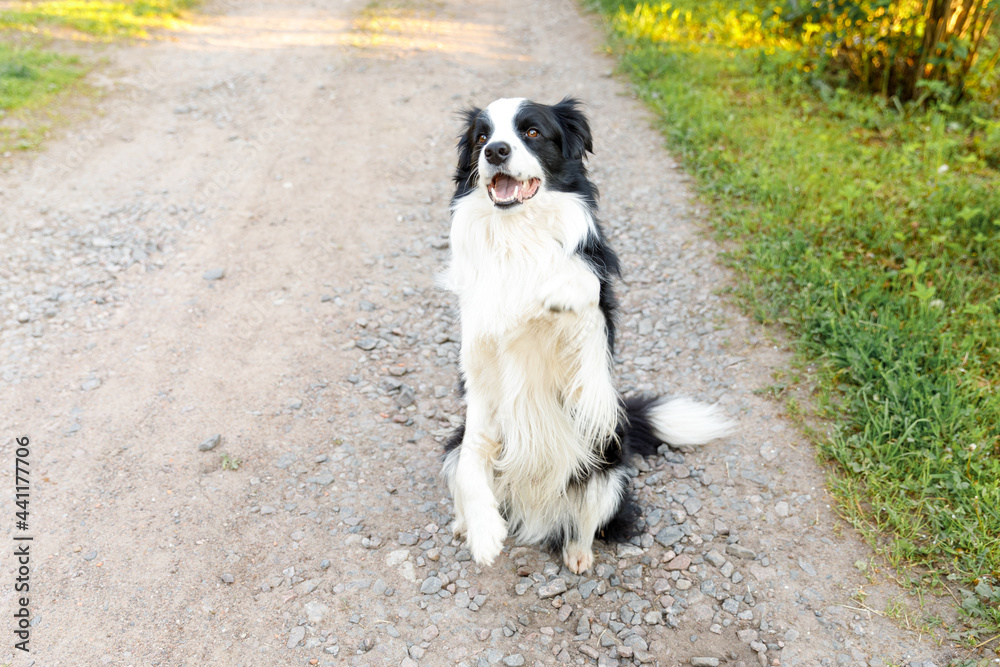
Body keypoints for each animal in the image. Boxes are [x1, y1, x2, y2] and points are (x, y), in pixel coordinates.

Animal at [442, 98, 732, 576]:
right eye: (481, 137)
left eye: (532, 132)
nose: (496, 151)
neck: (517, 237)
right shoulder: (479, 376)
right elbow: (471, 459)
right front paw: (485, 532)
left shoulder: (591, 363)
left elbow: (586, 288)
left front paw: (559, 290)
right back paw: (466, 524)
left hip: (607, 461)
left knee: (587, 521)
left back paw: (578, 555)